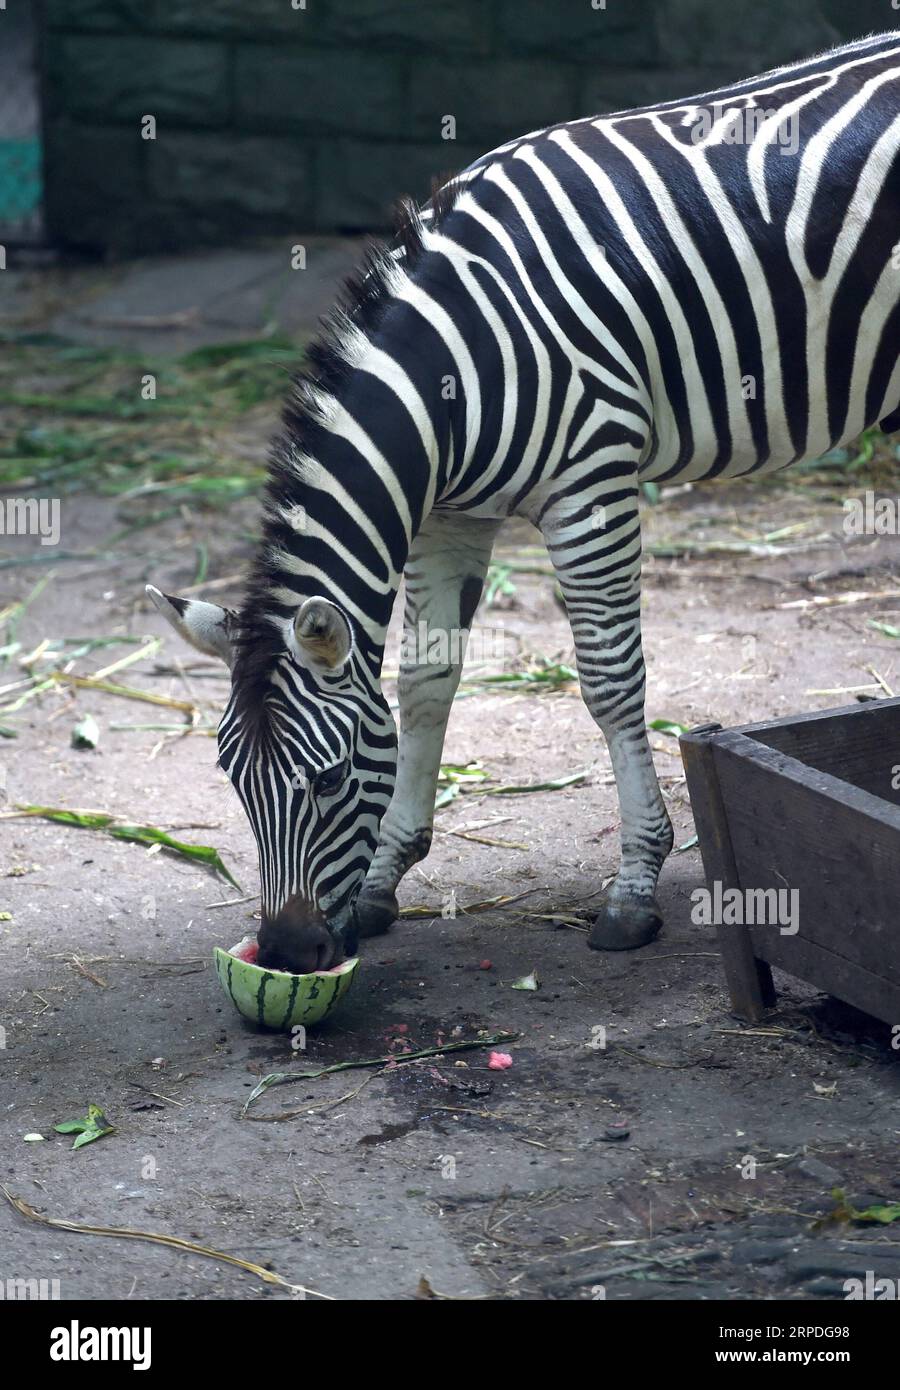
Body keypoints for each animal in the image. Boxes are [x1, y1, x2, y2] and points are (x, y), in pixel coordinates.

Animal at [148, 29, 900, 967]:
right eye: (232, 780)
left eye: (326, 779)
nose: (286, 953)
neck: (453, 369)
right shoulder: (448, 512)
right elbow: (426, 679)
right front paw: (383, 879)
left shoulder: (591, 483)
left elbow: (609, 682)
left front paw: (633, 889)